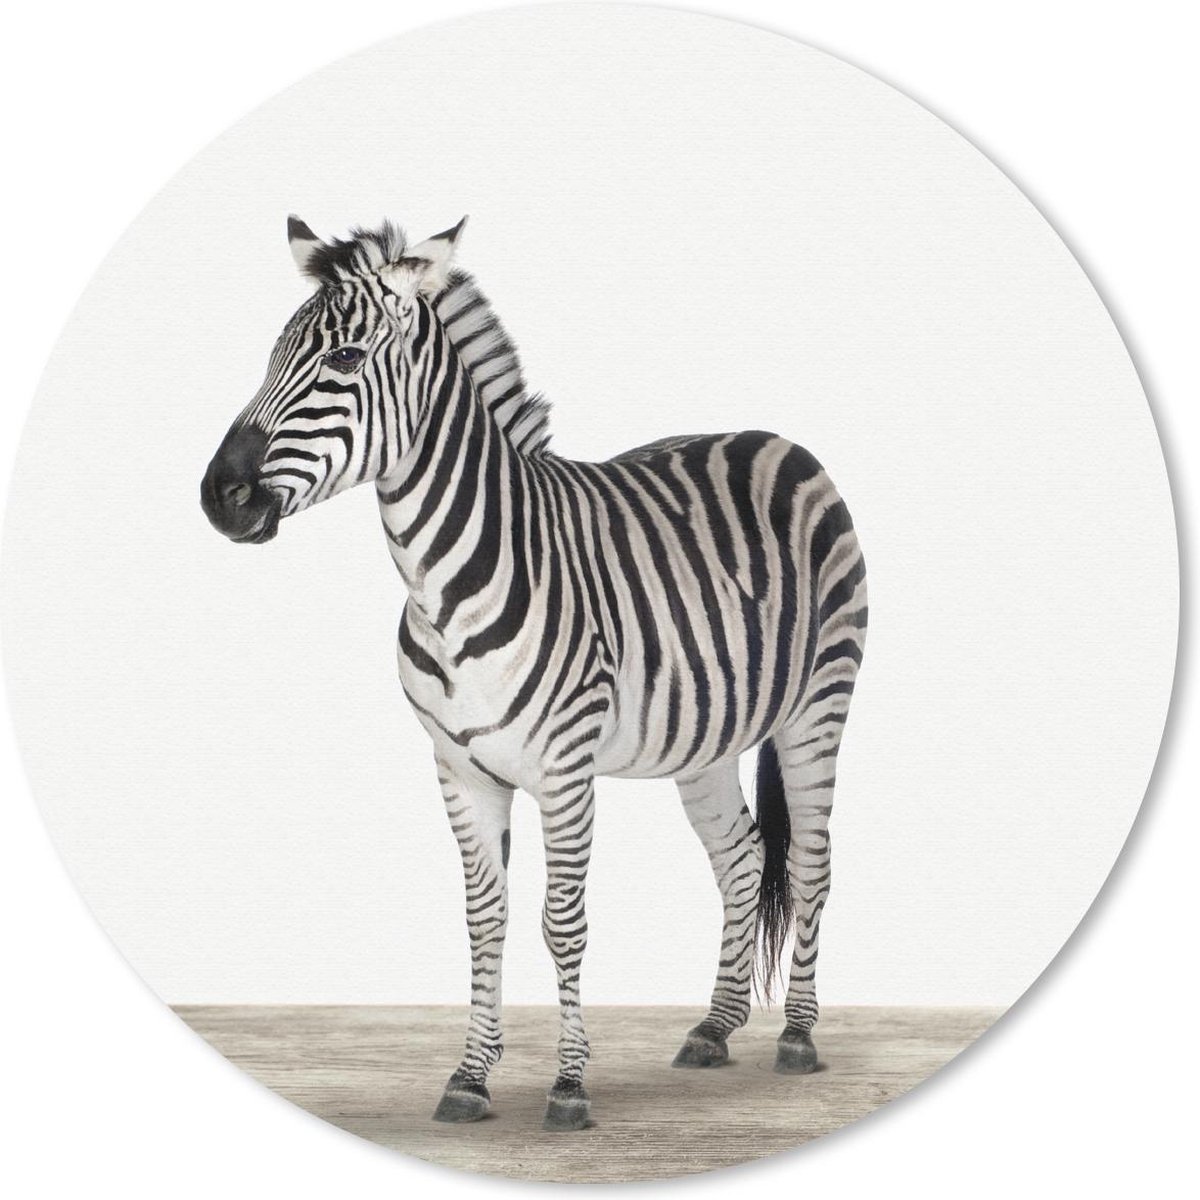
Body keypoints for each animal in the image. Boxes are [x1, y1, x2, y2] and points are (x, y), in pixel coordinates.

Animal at [200, 216, 867, 1132]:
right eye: (271, 356)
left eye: (343, 359)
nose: (218, 497)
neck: (443, 584)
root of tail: (780, 439)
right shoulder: (459, 768)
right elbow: (486, 920)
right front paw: (470, 1076)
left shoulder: (564, 767)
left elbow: (563, 922)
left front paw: (569, 1086)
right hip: (706, 736)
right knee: (739, 857)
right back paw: (715, 1026)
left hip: (818, 707)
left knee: (810, 863)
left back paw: (798, 1035)